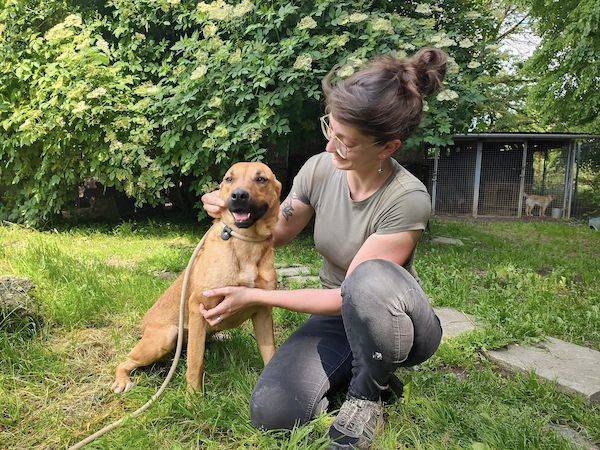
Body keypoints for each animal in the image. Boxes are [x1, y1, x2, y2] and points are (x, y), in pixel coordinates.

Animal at [112, 162, 281, 393]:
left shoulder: (262, 310)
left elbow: (270, 353)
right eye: (229, 179)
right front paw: (193, 396)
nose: (238, 195)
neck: (246, 243)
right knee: (124, 361)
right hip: (165, 337)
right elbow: (195, 361)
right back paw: (122, 380)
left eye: (261, 179)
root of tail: (144, 323)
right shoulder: (198, 307)